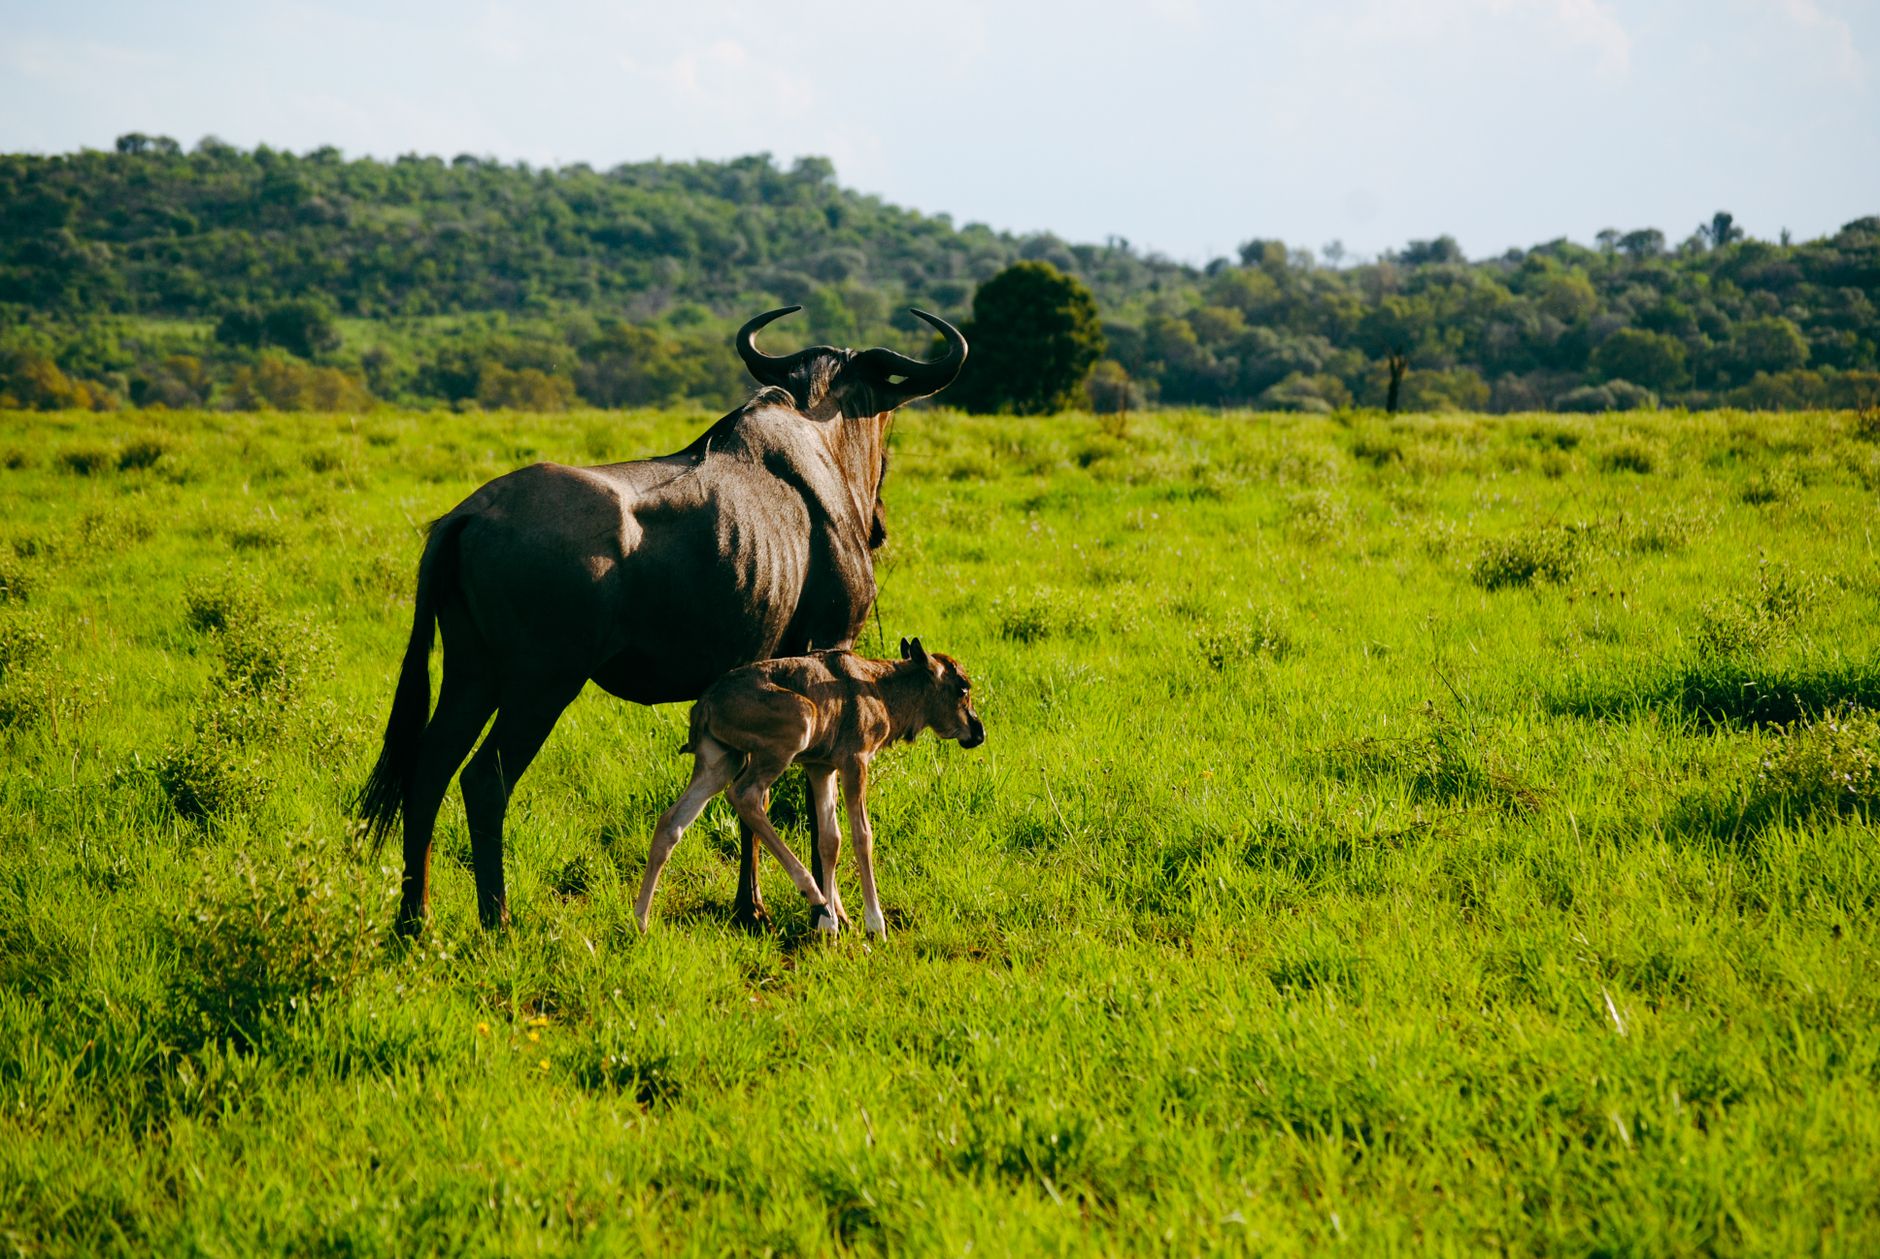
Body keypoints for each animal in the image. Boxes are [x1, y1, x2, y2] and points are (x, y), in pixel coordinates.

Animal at [356, 307, 967, 935]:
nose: (880, 523)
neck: (822, 439)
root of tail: (470, 514)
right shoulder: (829, 649)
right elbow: (810, 812)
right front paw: (819, 912)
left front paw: (754, 906)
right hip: (539, 687)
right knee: (485, 779)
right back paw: (496, 919)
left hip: (471, 676)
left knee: (428, 768)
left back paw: (415, 919)